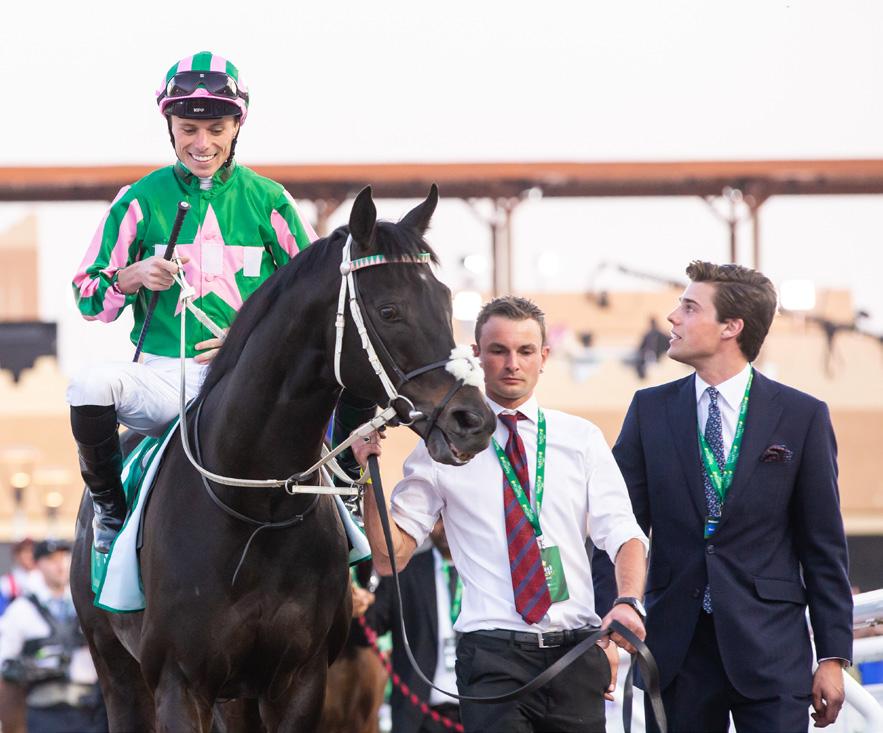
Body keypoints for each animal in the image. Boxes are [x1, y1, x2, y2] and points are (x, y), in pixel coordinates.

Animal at [70, 185, 496, 732]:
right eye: (389, 311)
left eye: (446, 301)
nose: (474, 420)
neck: (256, 511)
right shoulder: (179, 682)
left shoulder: (298, 680)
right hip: (116, 669)